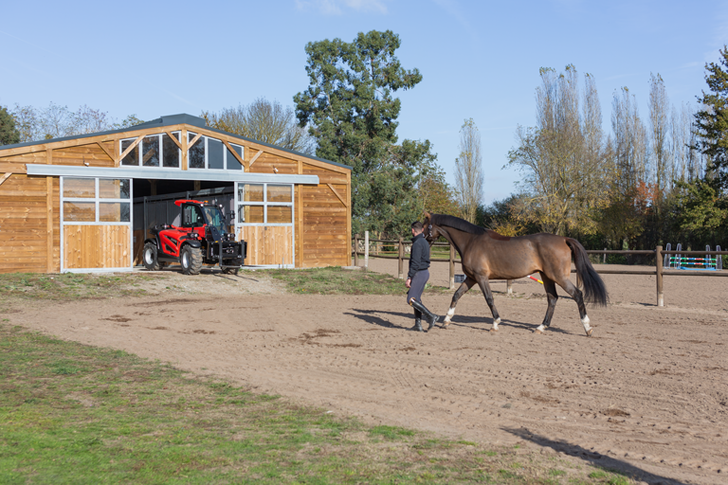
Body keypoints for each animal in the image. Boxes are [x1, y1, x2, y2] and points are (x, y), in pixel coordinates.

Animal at [424, 212, 604, 336]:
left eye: (425, 226)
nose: (419, 239)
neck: (471, 241)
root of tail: (564, 239)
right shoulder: (471, 278)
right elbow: (456, 294)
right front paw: (446, 320)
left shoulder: (481, 277)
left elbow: (489, 299)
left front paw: (495, 324)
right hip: (546, 277)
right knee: (552, 298)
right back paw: (541, 327)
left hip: (559, 277)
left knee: (577, 294)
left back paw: (587, 328)